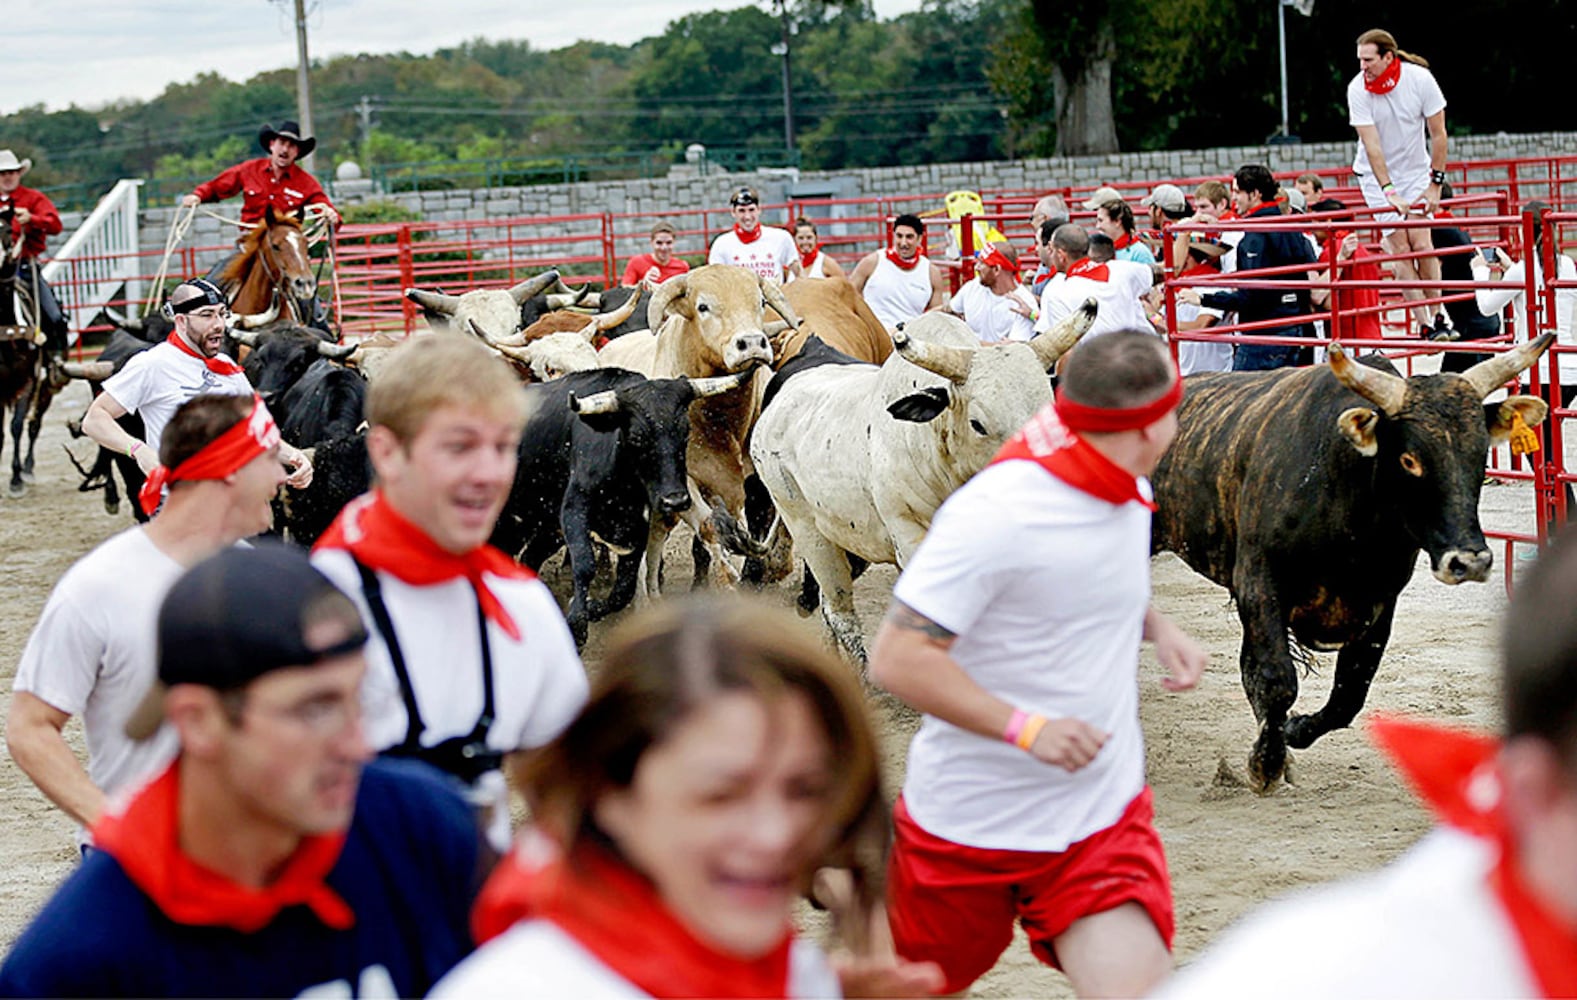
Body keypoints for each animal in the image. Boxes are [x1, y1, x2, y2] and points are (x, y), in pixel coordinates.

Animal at [1148, 339, 1551, 791]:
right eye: (1409, 460)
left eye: (1479, 454)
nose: (1470, 560)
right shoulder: (1259, 584)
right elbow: (1276, 679)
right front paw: (1266, 763)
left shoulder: (1379, 605)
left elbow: (1348, 694)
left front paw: (1293, 732)